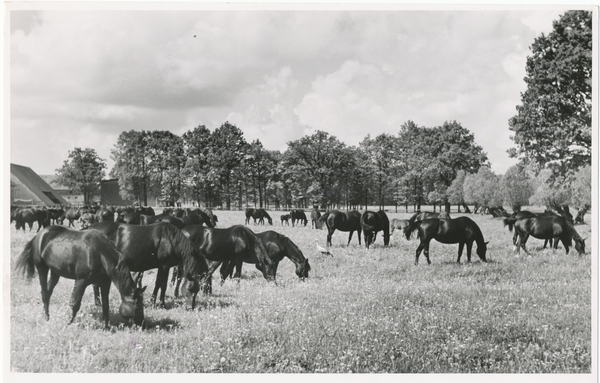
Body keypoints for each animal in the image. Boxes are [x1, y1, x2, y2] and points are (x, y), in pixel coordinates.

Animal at [14, 226, 145, 328]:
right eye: (138, 307)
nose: (142, 324)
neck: (100, 253)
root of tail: (39, 235)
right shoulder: (81, 281)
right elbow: (76, 304)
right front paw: (69, 323)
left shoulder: (105, 283)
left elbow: (106, 305)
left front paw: (106, 326)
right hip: (42, 269)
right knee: (44, 293)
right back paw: (46, 317)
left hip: (55, 272)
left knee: (48, 292)